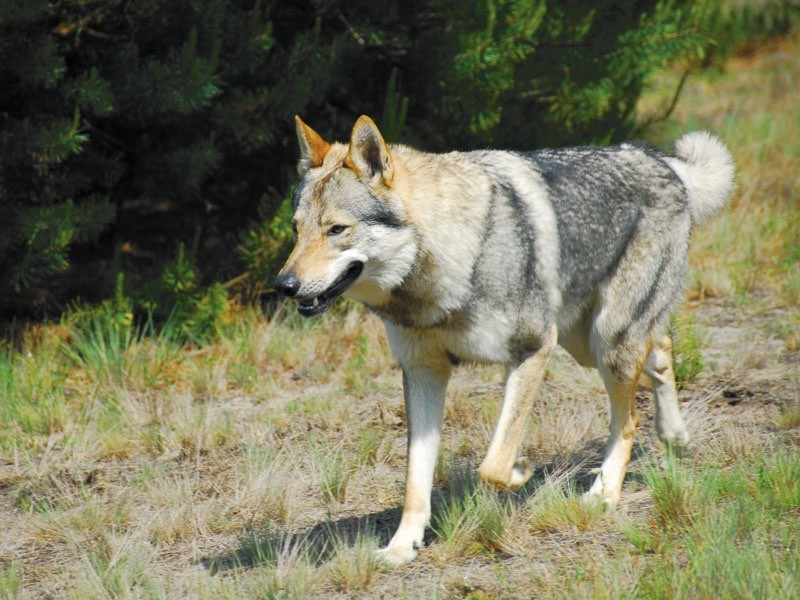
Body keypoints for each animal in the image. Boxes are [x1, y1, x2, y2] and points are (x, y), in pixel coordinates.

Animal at [274, 115, 732, 564]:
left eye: (337, 229)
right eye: (296, 230)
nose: (284, 286)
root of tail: (661, 160)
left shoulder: (533, 349)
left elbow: (493, 464)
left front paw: (520, 471)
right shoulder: (423, 372)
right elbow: (415, 480)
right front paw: (403, 545)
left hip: (606, 342)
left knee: (629, 419)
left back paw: (604, 493)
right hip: (588, 344)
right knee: (662, 349)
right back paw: (674, 435)